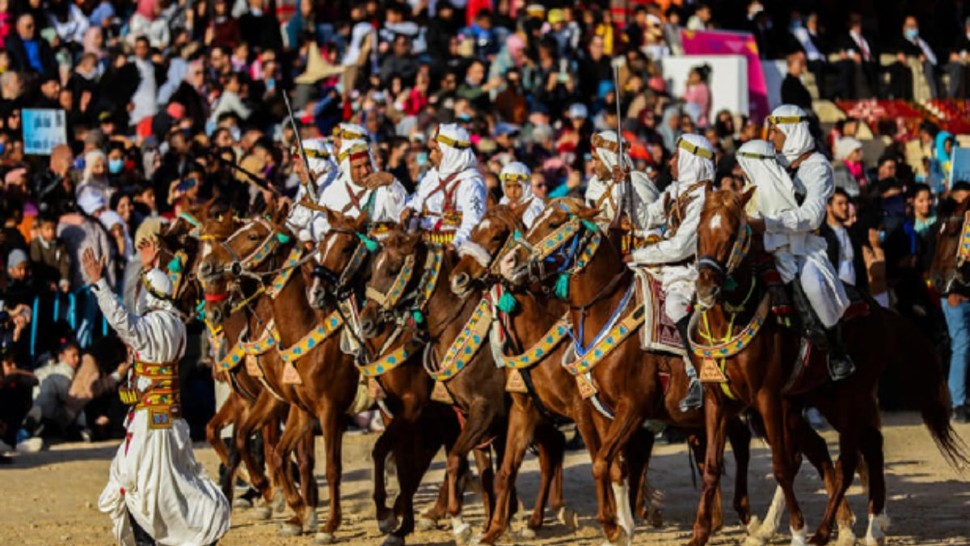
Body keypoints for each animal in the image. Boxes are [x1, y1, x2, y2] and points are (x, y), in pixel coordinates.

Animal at [692, 188, 964, 544]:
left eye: (732, 232)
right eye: (699, 232)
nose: (705, 287)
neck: (733, 317)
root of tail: (879, 310)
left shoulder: (767, 398)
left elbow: (781, 465)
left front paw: (797, 530)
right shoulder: (718, 401)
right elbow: (712, 467)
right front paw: (699, 534)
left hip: (849, 397)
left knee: (847, 460)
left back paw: (827, 531)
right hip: (823, 399)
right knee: (868, 446)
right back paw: (872, 527)